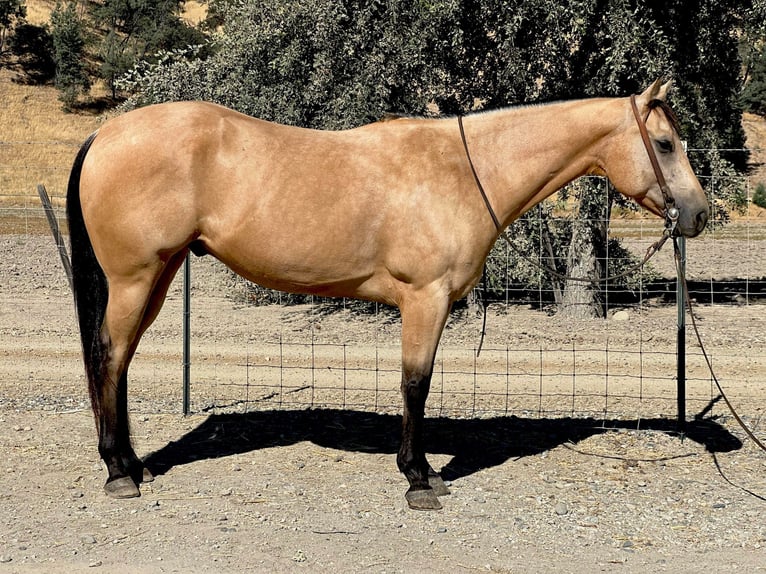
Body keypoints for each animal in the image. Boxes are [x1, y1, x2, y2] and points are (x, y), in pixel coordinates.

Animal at [69, 79, 712, 510]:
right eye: (665, 143)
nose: (700, 214)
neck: (463, 169)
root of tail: (106, 132)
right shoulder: (425, 300)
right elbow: (415, 385)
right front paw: (419, 477)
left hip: (158, 276)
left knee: (119, 362)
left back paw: (134, 465)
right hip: (136, 277)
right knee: (109, 356)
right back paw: (119, 472)